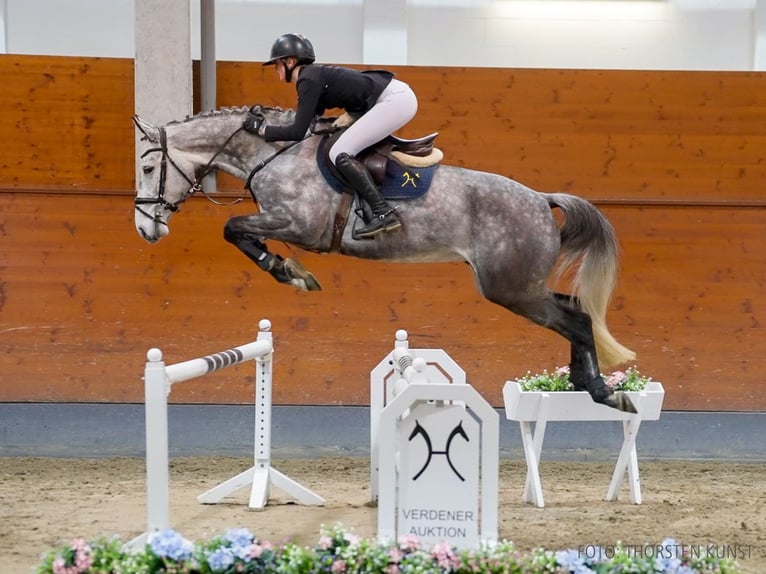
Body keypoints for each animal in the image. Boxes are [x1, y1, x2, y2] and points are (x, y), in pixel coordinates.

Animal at [135, 106, 640, 414]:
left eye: (147, 167)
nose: (145, 230)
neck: (271, 154)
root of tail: (540, 198)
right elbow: (236, 229)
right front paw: (288, 271)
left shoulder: (297, 224)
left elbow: (233, 226)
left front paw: (290, 273)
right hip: (522, 287)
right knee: (576, 312)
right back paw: (583, 384)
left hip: (511, 289)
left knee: (576, 319)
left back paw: (601, 392)